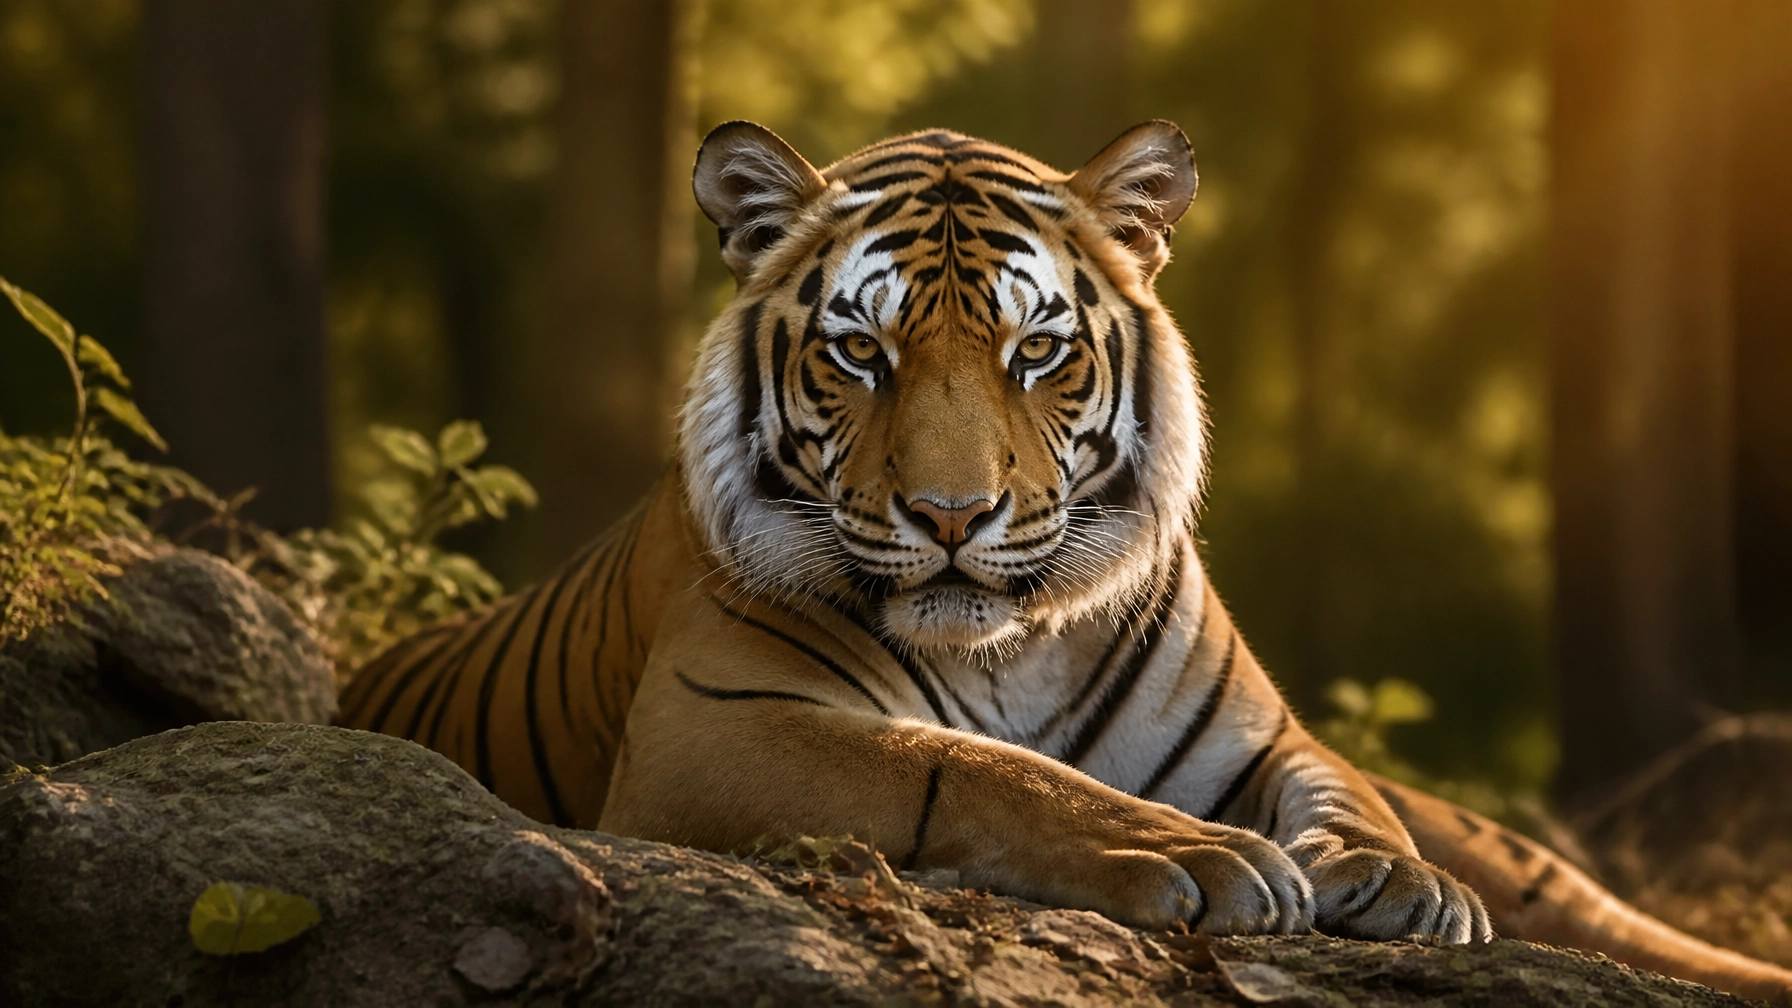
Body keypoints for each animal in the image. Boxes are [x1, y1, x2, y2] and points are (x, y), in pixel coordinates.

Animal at [341, 120, 1792, 1002]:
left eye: (1035, 350)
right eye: (859, 351)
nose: (951, 514)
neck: (1009, 644)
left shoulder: (1264, 737)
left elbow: (1343, 797)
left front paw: (1394, 884)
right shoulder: (717, 727)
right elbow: (972, 768)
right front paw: (1199, 856)